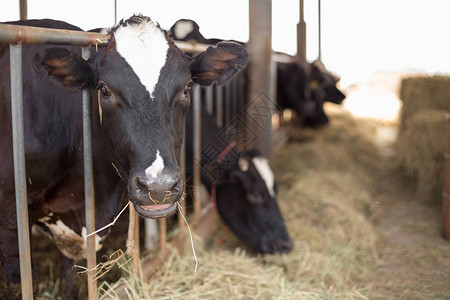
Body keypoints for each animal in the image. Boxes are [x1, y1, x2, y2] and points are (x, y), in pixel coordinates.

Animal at [0, 15, 248, 298]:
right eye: (104, 89)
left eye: (186, 88)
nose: (159, 187)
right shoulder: (10, 218)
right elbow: (17, 283)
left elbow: (71, 281)